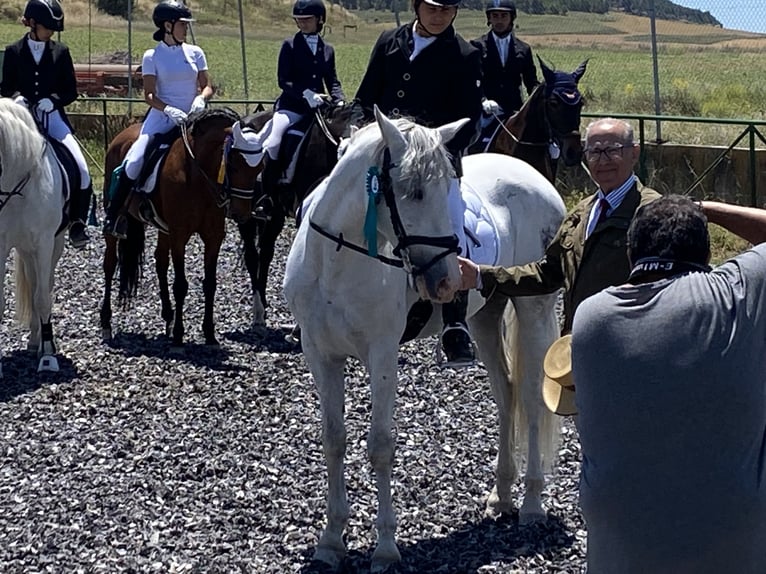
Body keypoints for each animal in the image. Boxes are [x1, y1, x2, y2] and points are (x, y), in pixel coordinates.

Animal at [100, 108, 260, 352]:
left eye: (259, 168)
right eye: (233, 165)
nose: (241, 214)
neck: (198, 173)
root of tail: (121, 136)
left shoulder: (213, 237)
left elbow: (210, 284)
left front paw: (210, 335)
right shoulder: (179, 235)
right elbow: (181, 285)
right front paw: (178, 337)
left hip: (163, 228)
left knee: (160, 262)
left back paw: (168, 316)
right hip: (117, 219)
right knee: (110, 264)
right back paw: (107, 323)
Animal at [284, 107, 568, 572]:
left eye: (447, 187)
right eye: (413, 192)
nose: (448, 279)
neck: (337, 260)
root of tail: (534, 176)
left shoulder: (381, 354)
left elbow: (380, 445)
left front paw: (385, 548)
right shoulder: (320, 354)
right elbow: (334, 440)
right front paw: (330, 542)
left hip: (535, 310)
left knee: (529, 400)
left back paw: (530, 505)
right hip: (485, 317)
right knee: (505, 394)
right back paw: (501, 498)